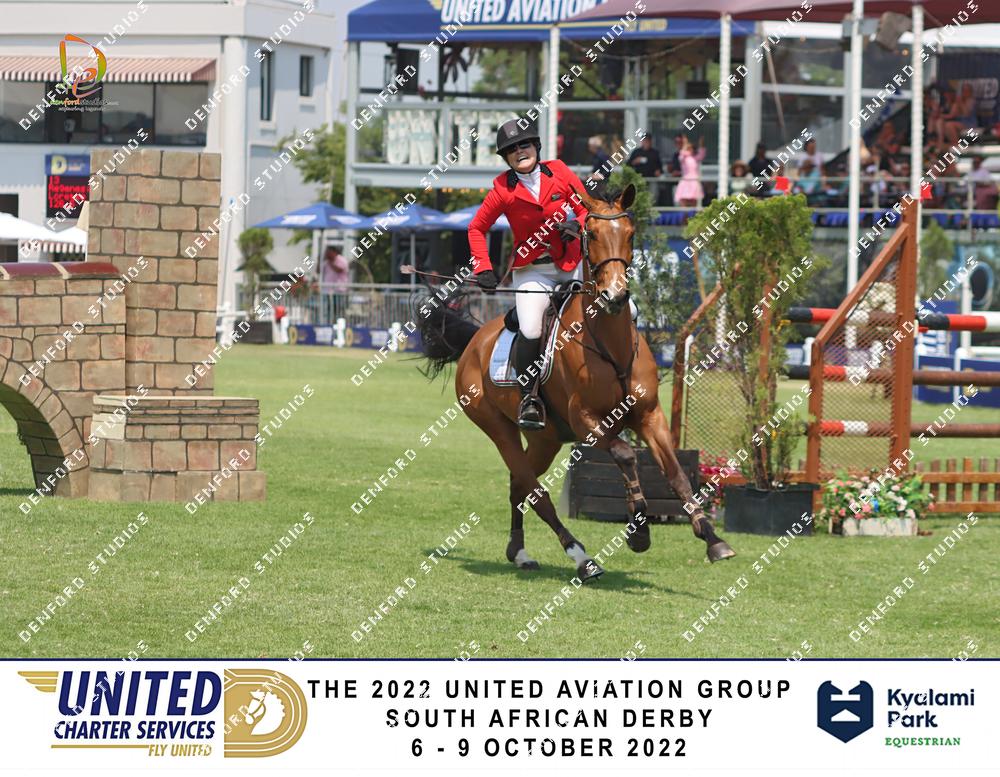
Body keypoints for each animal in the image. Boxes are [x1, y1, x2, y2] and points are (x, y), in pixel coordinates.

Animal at [417, 183, 735, 581]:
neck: (610, 343)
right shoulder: (586, 421)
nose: (615, 296)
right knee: (536, 492)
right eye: (592, 235)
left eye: (630, 234)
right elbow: (626, 454)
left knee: (519, 485)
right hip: (498, 428)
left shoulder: (649, 415)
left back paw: (519, 553)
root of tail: (475, 340)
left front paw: (712, 538)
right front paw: (639, 531)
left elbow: (675, 472)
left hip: (546, 439)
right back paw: (582, 557)